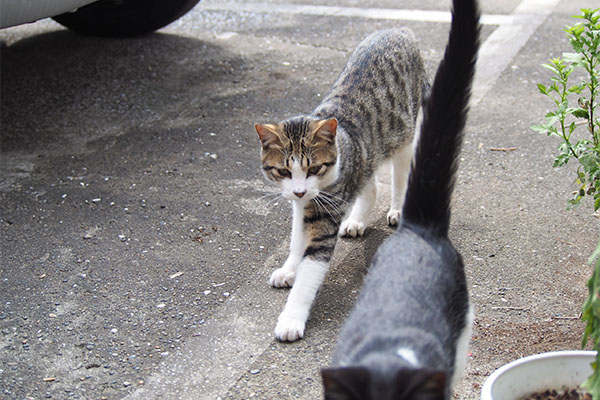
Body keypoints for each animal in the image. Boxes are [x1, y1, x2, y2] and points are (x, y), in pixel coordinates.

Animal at [255, 28, 428, 342]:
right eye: (284, 171)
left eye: (314, 168)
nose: (299, 190)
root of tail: (401, 30)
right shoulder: (302, 206)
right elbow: (296, 240)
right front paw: (289, 268)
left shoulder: (325, 214)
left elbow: (310, 268)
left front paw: (291, 317)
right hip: (367, 158)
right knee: (369, 185)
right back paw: (357, 220)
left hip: (403, 135)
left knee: (400, 175)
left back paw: (397, 209)